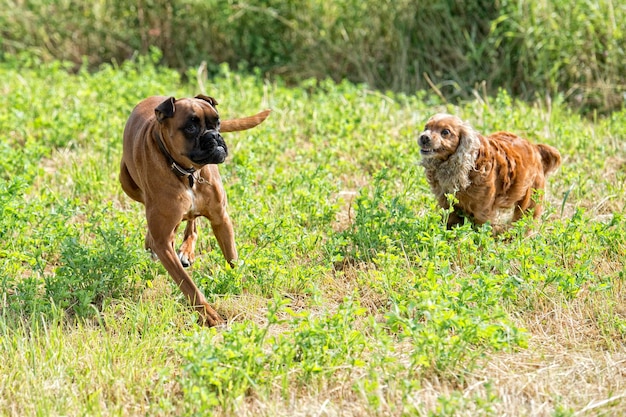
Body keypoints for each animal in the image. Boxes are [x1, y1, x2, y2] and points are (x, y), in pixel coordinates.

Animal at [120, 95, 270, 324]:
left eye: (217, 122)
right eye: (190, 127)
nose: (214, 136)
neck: (186, 173)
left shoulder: (221, 219)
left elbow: (232, 258)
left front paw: (239, 285)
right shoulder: (163, 244)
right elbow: (188, 284)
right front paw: (208, 314)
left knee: (192, 220)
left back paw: (186, 248)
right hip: (125, 181)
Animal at [416, 114, 560, 229]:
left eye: (445, 132)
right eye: (426, 128)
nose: (424, 137)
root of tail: (535, 147)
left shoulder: (482, 211)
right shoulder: (447, 204)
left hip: (530, 200)